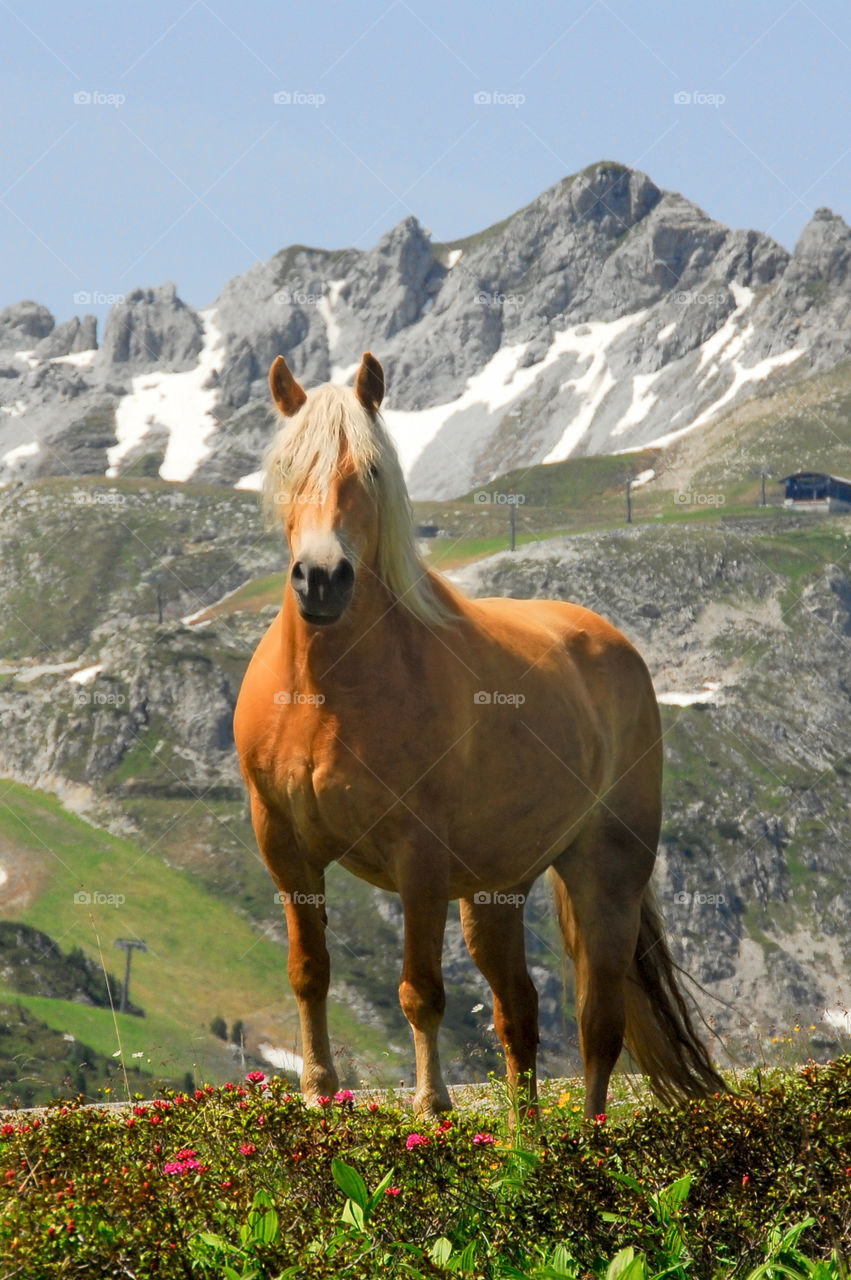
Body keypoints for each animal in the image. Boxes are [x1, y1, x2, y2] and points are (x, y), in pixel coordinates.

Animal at [233, 351, 726, 1118]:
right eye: (288, 469)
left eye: (371, 471)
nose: (321, 579)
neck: (322, 695)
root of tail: (614, 646)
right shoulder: (284, 846)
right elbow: (309, 971)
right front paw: (319, 1093)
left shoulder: (419, 859)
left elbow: (420, 991)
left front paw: (431, 1106)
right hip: (494, 896)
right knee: (518, 1015)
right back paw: (525, 1137)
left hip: (605, 875)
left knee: (598, 1025)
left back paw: (584, 1137)